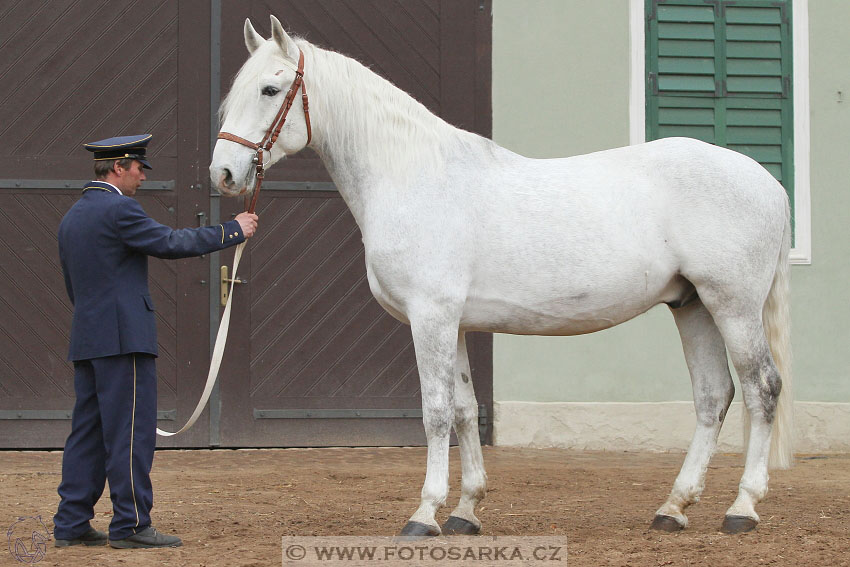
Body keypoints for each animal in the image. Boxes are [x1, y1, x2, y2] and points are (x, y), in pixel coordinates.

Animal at [209, 14, 792, 536]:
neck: (415, 176)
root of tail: (768, 182)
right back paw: (673, 508)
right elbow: (466, 410)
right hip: (692, 306)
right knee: (713, 397)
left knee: (762, 388)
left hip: (732, 305)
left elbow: (436, 411)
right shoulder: (457, 324)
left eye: (269, 88)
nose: (224, 174)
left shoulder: (431, 318)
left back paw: (742, 508)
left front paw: (424, 514)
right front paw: (466, 512)